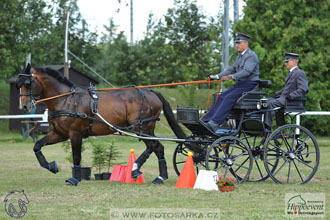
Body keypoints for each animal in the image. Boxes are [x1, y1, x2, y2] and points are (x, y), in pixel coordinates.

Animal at [16, 63, 186, 186]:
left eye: (28, 83)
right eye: (18, 84)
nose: (24, 106)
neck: (65, 100)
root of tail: (151, 92)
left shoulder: (75, 134)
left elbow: (76, 156)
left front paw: (75, 179)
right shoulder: (59, 134)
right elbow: (37, 146)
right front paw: (52, 166)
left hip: (141, 127)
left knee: (155, 146)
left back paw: (145, 172)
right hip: (145, 129)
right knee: (156, 147)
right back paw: (150, 174)